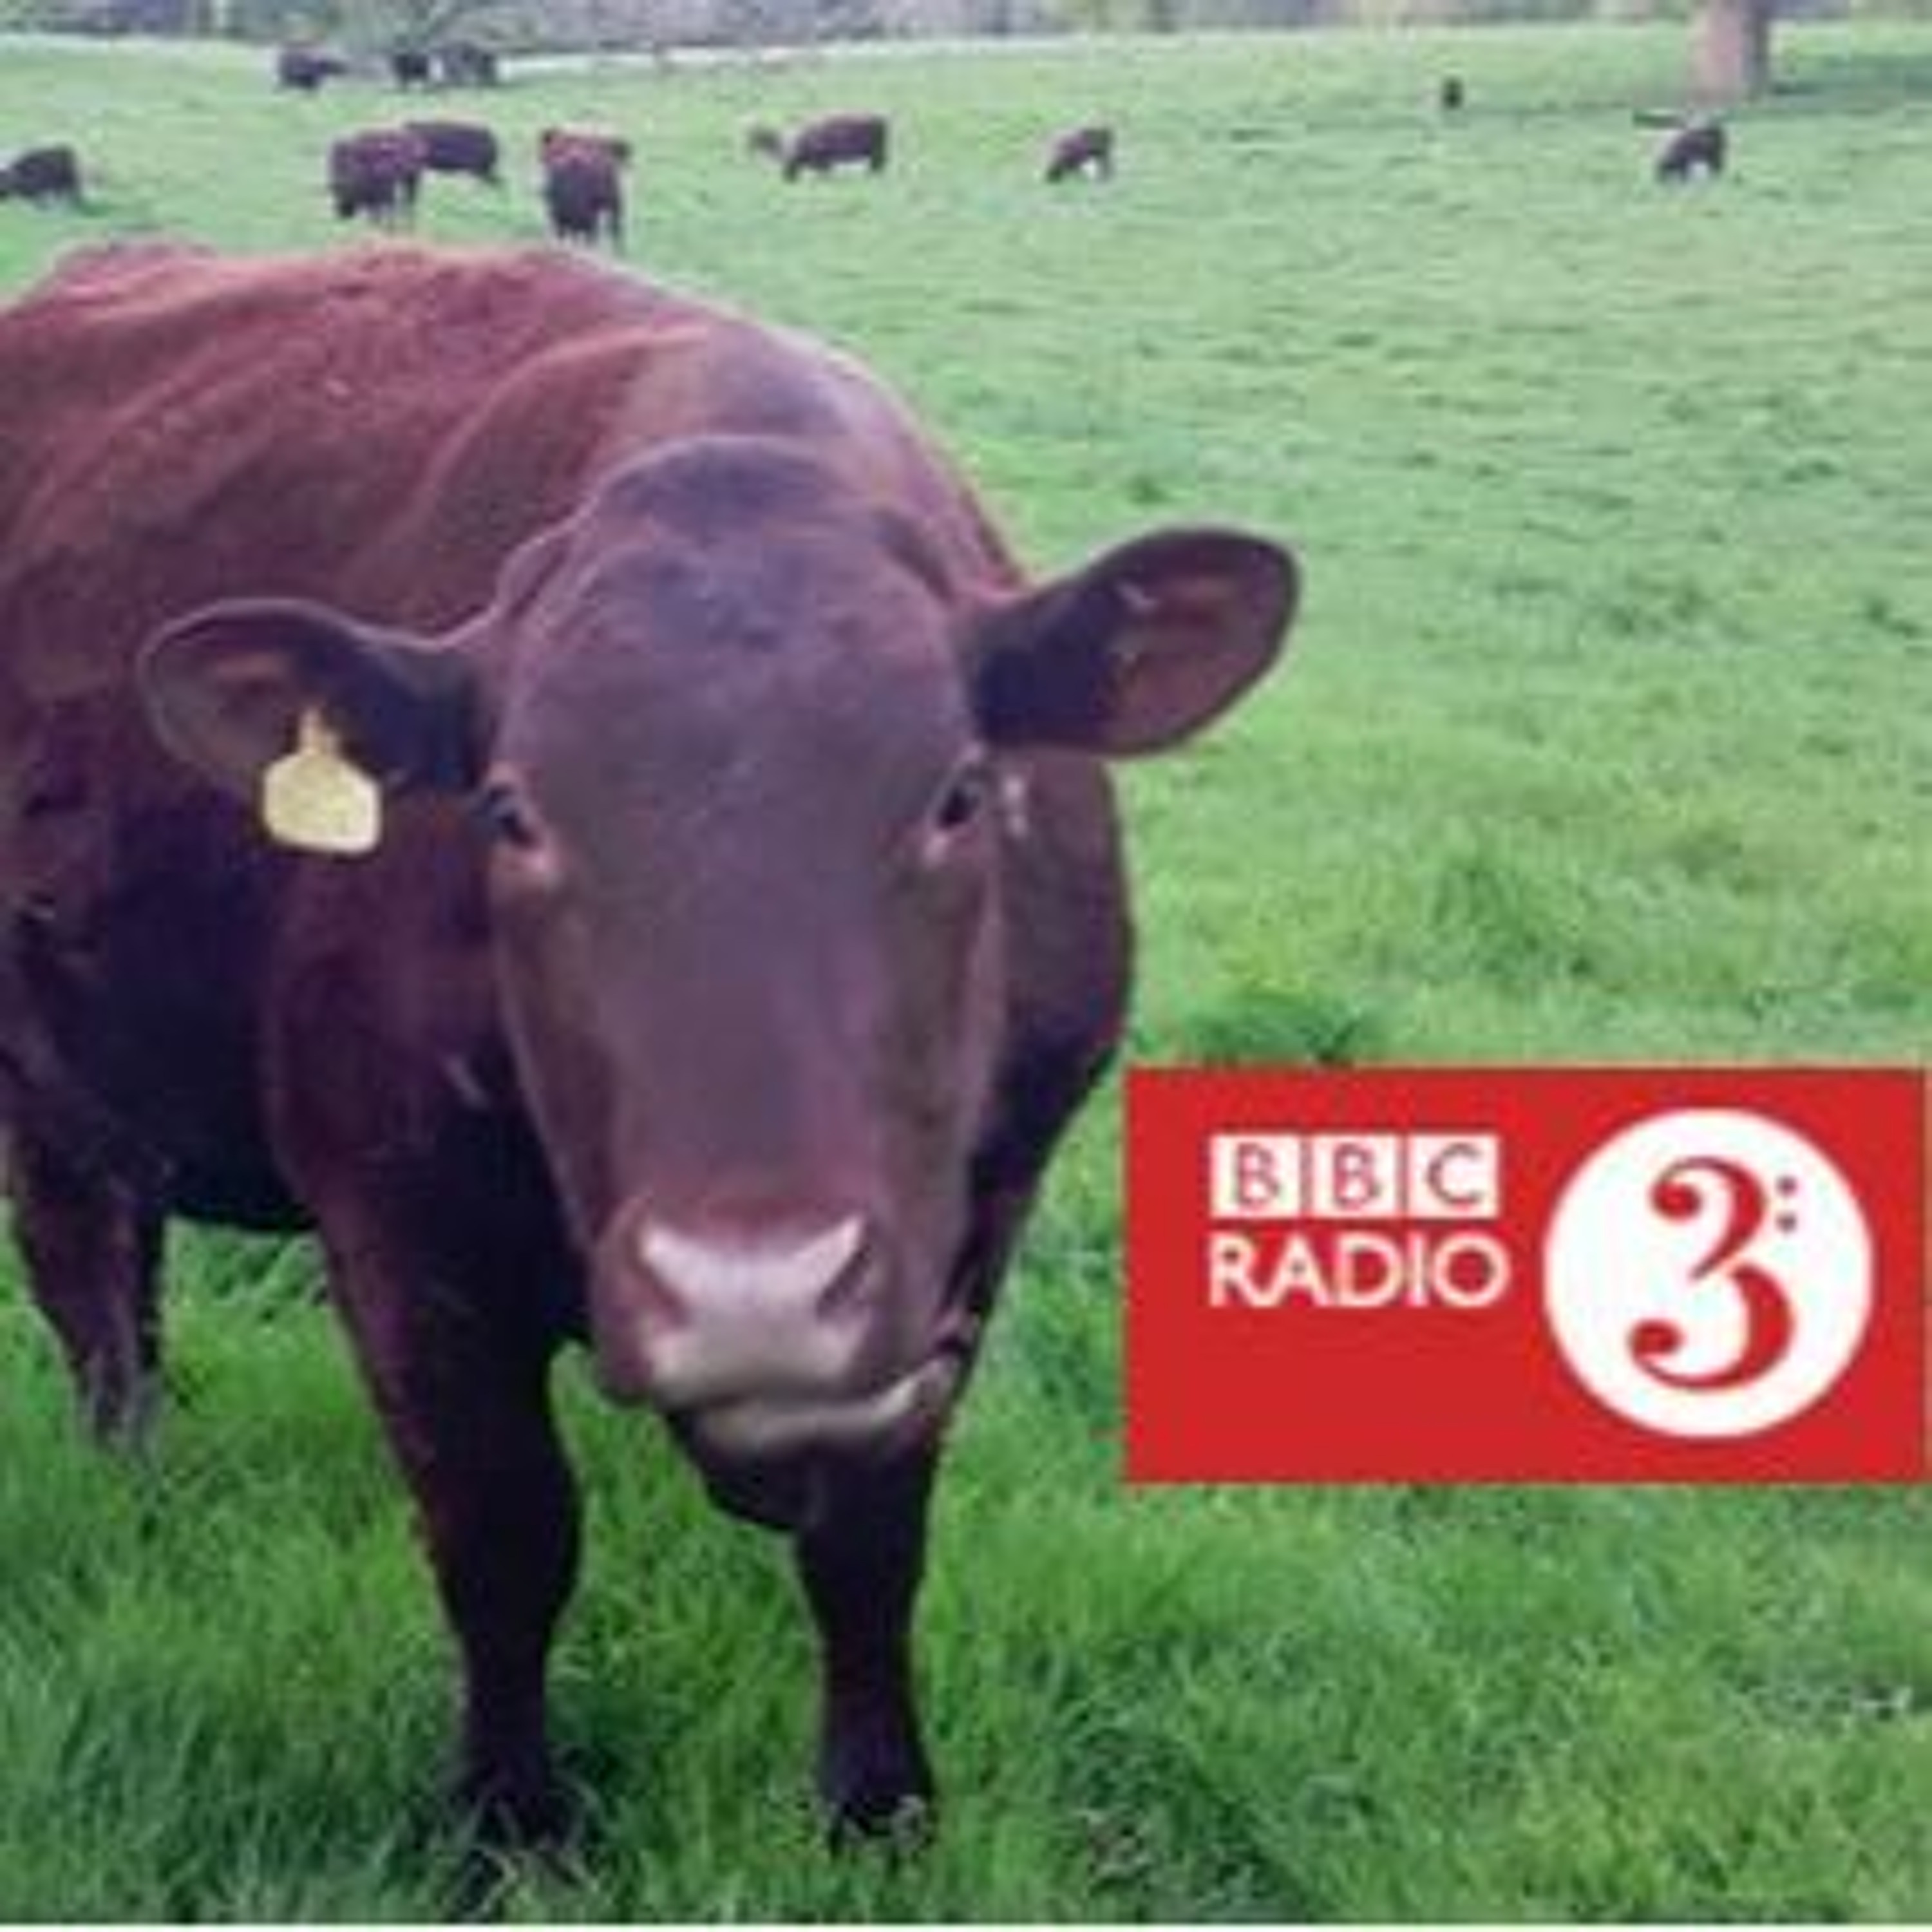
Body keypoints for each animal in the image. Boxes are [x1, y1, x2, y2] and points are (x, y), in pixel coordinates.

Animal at [0, 243, 1298, 1851]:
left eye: (957, 794)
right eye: (509, 812)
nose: (755, 1289)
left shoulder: (975, 1233)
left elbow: (875, 1540)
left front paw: (879, 1808)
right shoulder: (400, 1236)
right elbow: (506, 1542)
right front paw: (512, 1828)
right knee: (86, 1282)